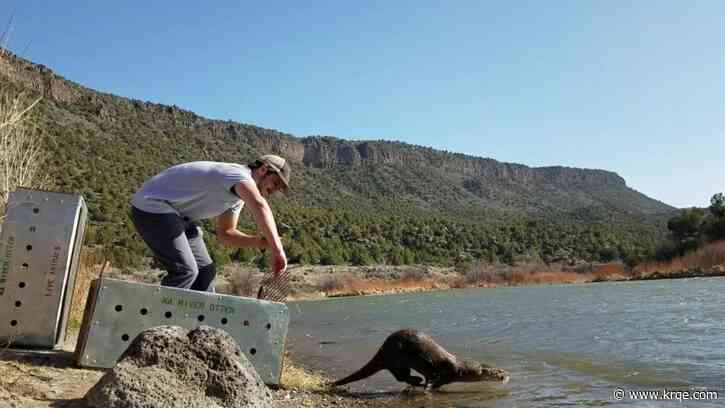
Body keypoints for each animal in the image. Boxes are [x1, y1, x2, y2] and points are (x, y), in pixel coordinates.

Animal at [330, 328, 506, 388]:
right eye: (498, 371)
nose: (507, 375)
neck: (459, 368)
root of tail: (382, 350)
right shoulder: (443, 373)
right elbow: (434, 381)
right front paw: (428, 387)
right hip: (396, 359)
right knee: (401, 377)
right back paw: (417, 380)